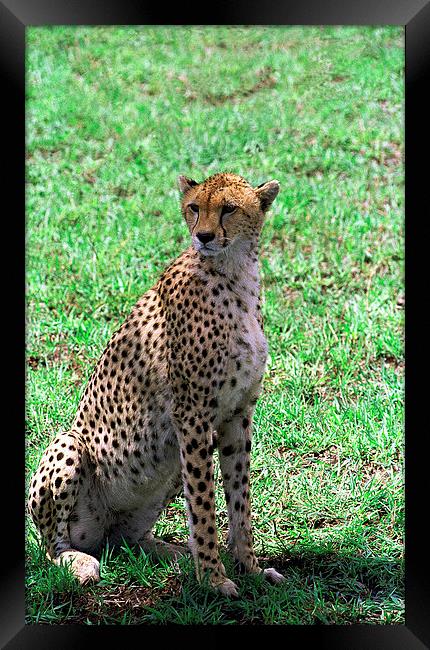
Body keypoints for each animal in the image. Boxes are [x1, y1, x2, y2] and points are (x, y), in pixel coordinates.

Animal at [29, 170, 286, 596]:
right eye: (194, 208)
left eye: (229, 209)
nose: (203, 236)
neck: (234, 273)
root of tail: (98, 532)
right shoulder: (193, 415)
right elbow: (204, 506)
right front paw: (213, 578)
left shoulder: (237, 413)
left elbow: (239, 499)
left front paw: (249, 567)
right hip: (70, 444)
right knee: (54, 546)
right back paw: (80, 563)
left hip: (165, 471)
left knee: (126, 539)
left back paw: (169, 552)